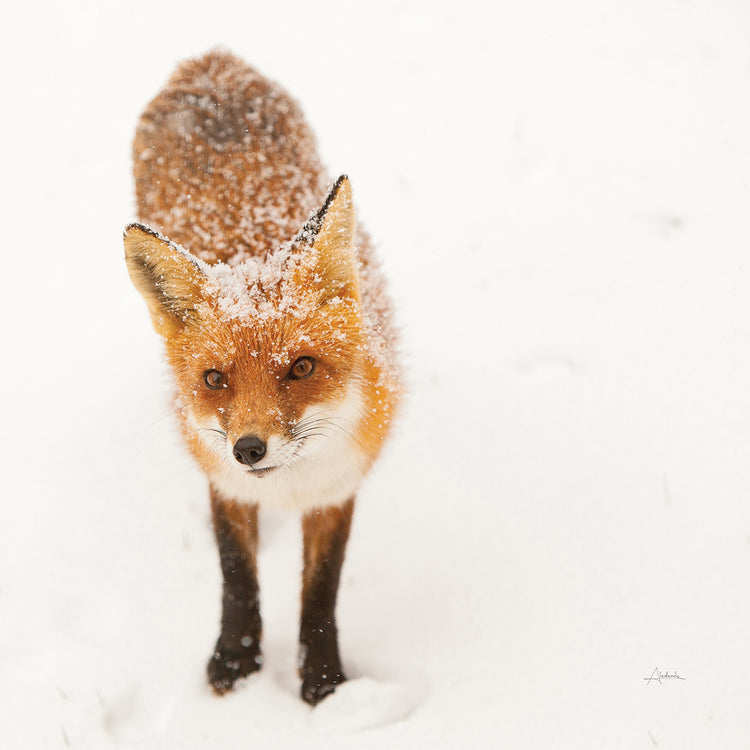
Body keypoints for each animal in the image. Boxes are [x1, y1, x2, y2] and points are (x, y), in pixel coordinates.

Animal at [123, 51, 400, 706]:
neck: (287, 487)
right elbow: (236, 575)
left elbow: (321, 591)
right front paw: (235, 660)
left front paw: (323, 681)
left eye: (301, 367)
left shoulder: (337, 487)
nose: (249, 449)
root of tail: (212, 58)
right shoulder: (225, 482)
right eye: (214, 378)